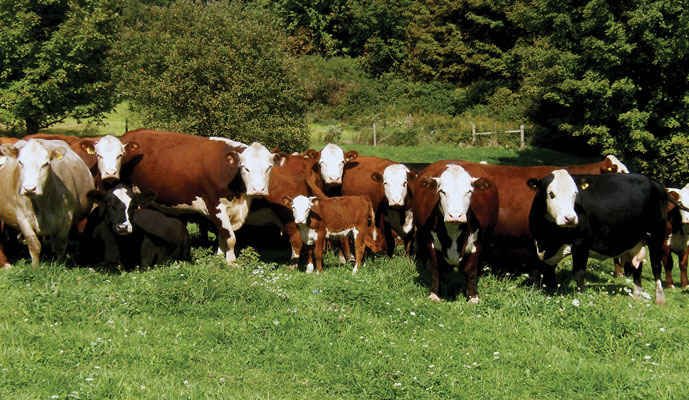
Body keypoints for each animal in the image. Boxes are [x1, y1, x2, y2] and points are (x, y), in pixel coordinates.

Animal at [0, 139, 94, 267]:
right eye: (20, 162)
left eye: (46, 164)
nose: (29, 188)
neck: (43, 204)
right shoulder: (23, 218)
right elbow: (34, 244)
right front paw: (35, 267)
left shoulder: (66, 218)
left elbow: (59, 244)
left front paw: (60, 265)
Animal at [113, 129, 286, 264]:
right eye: (245, 167)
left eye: (269, 167)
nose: (258, 189)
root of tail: (130, 134)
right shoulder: (215, 206)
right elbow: (229, 236)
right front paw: (231, 262)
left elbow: (222, 235)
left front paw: (219, 257)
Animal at [413, 163, 498, 303]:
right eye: (442, 191)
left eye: (469, 191)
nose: (455, 215)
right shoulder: (431, 242)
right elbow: (436, 268)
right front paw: (435, 294)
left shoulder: (478, 243)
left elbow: (471, 271)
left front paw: (472, 296)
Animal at [527, 171, 678, 305]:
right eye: (551, 193)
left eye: (575, 193)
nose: (570, 218)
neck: (549, 238)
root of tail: (655, 183)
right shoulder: (537, 243)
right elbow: (537, 271)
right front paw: (537, 292)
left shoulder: (581, 244)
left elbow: (578, 273)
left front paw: (580, 298)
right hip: (635, 240)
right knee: (637, 266)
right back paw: (637, 295)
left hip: (656, 235)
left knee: (656, 266)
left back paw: (660, 298)